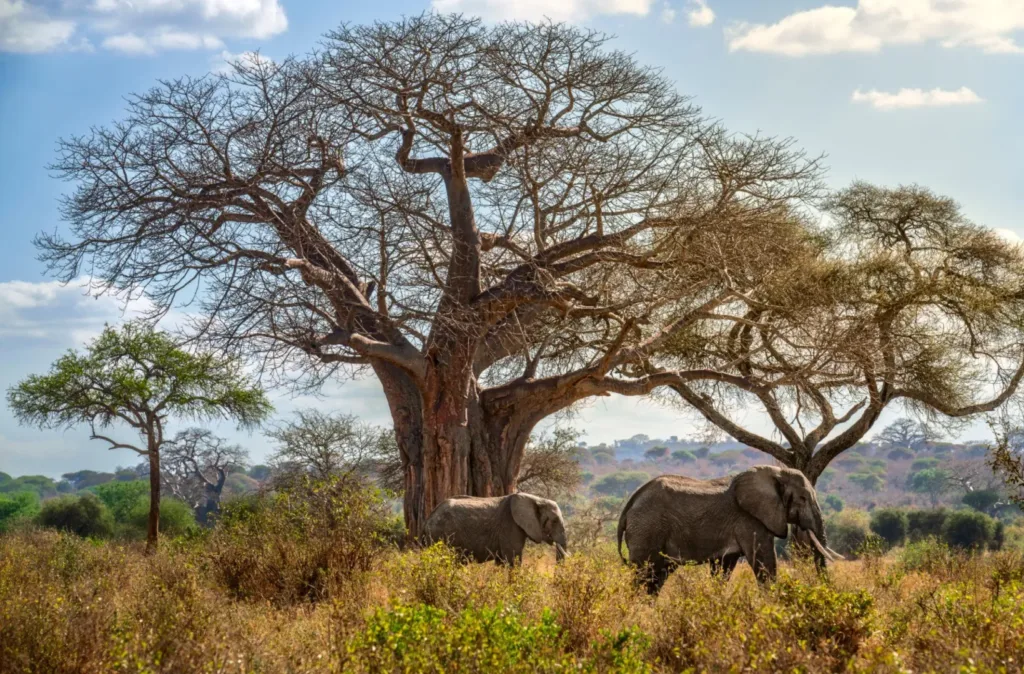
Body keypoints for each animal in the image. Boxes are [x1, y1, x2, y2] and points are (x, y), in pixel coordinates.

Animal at [422, 492, 568, 565]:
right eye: (554, 521)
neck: (536, 499)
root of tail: (428, 519)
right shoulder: (510, 524)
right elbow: (513, 559)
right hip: (440, 535)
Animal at [616, 465, 842, 593]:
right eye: (803, 498)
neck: (777, 472)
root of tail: (630, 504)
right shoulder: (749, 519)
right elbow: (763, 562)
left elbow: (723, 569)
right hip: (647, 528)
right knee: (643, 573)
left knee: (657, 576)